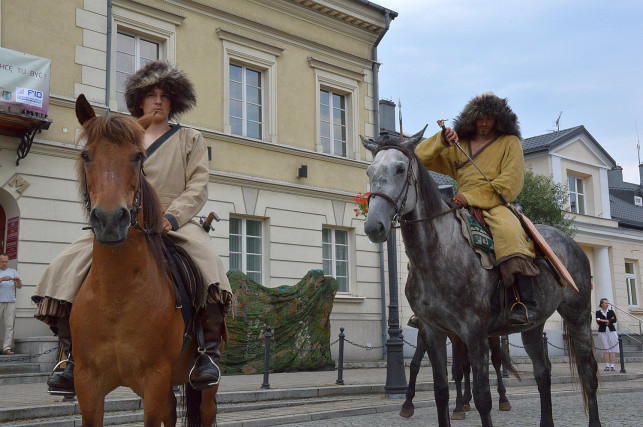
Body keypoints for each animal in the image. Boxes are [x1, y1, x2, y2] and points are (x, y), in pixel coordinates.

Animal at [68, 94, 219, 427]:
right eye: (86, 154)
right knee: (171, 413)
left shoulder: (155, 379)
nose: (110, 220)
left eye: (138, 157)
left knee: (205, 409)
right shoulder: (87, 385)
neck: (116, 296)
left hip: (203, 384)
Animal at [360, 131, 600, 427]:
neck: (438, 253)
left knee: (588, 372)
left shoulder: (474, 331)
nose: (374, 226)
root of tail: (571, 242)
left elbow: (482, 395)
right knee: (542, 371)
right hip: (533, 325)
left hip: (578, 315)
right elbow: (441, 391)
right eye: (370, 171)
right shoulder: (433, 331)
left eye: (400, 169)